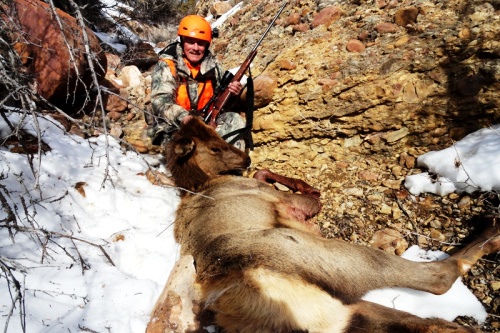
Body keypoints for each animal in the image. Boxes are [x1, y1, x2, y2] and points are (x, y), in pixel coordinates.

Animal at [146, 116, 498, 332]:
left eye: (218, 135)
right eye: (215, 147)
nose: (246, 158)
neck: (199, 183)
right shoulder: (287, 203)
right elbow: (308, 192)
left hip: (345, 311)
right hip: (342, 263)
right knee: (439, 277)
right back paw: (490, 230)